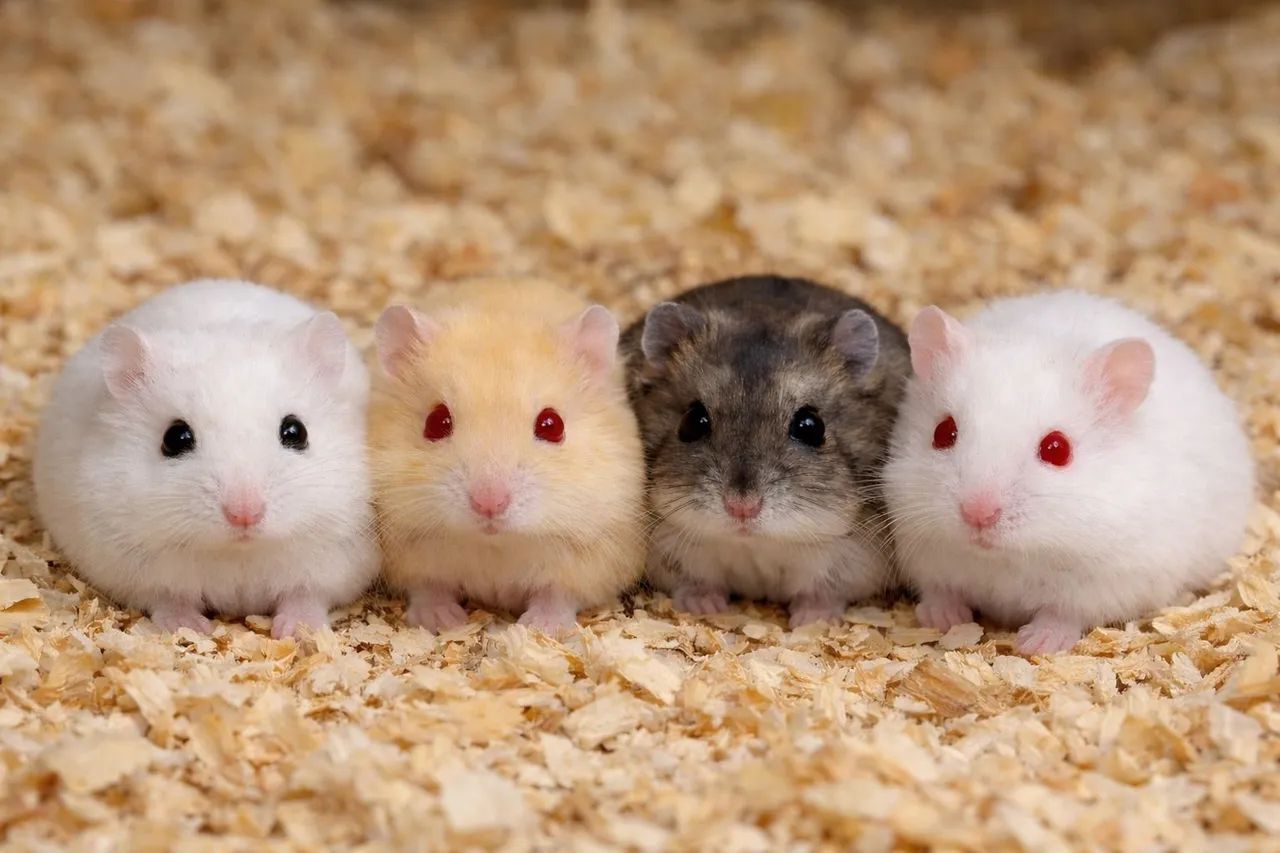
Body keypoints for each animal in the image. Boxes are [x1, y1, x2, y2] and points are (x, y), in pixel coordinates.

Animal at [33, 279, 379, 638]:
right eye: (175, 438)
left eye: (296, 432)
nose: (245, 515)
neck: (238, 551)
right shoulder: (129, 563)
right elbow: (167, 598)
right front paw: (192, 629)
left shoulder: (335, 558)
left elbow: (307, 595)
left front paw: (296, 631)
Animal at [369, 277, 645, 634]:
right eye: (436, 422)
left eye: (552, 425)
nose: (489, 504)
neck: (497, 544)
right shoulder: (409, 549)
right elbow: (428, 587)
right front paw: (445, 621)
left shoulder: (593, 555)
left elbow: (558, 594)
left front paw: (539, 627)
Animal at [622, 275, 911, 628]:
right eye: (693, 422)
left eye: (810, 426)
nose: (742, 507)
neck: (756, 545)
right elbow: (695, 582)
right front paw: (704, 606)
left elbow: (824, 593)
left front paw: (810, 620)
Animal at [883, 289, 1255, 655]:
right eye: (943, 432)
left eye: (1057, 449)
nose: (978, 514)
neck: (1010, 557)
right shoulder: (923, 551)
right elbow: (940, 590)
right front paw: (943, 620)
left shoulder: (1109, 582)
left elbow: (1063, 613)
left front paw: (1035, 644)